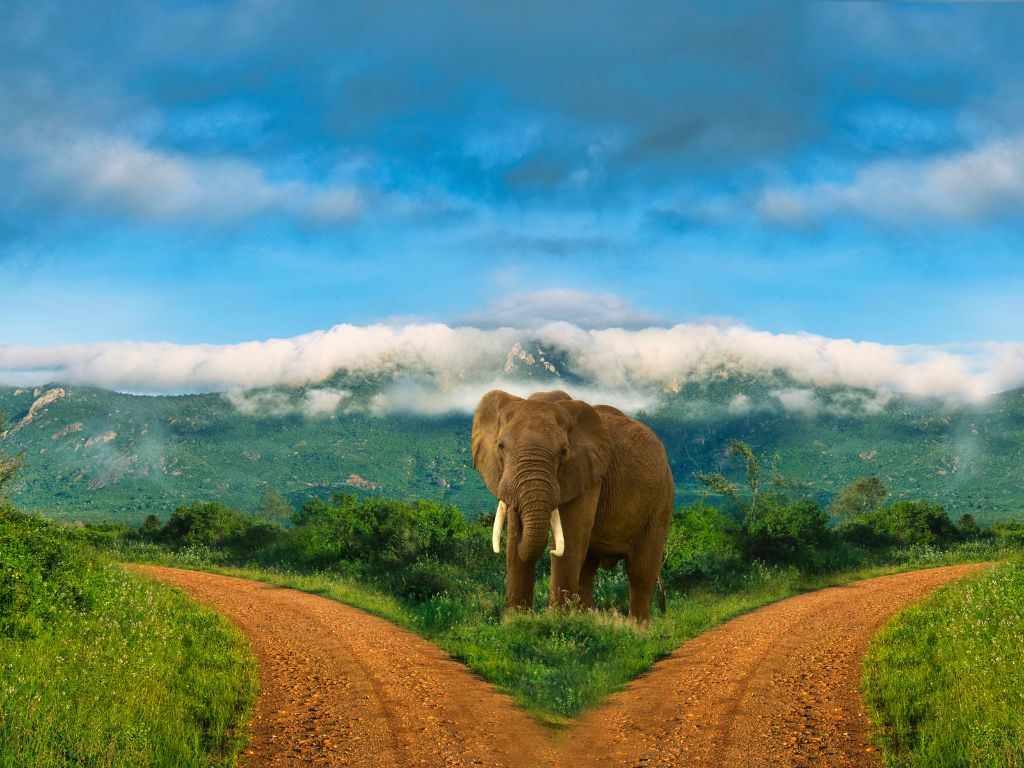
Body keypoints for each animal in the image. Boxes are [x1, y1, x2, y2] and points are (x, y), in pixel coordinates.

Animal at [473, 387, 679, 626]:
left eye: (563, 452)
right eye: (501, 446)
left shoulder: (587, 473)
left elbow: (569, 539)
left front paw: (555, 621)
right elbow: (515, 540)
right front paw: (516, 621)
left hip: (662, 498)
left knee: (640, 571)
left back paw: (636, 630)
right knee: (588, 566)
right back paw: (587, 617)